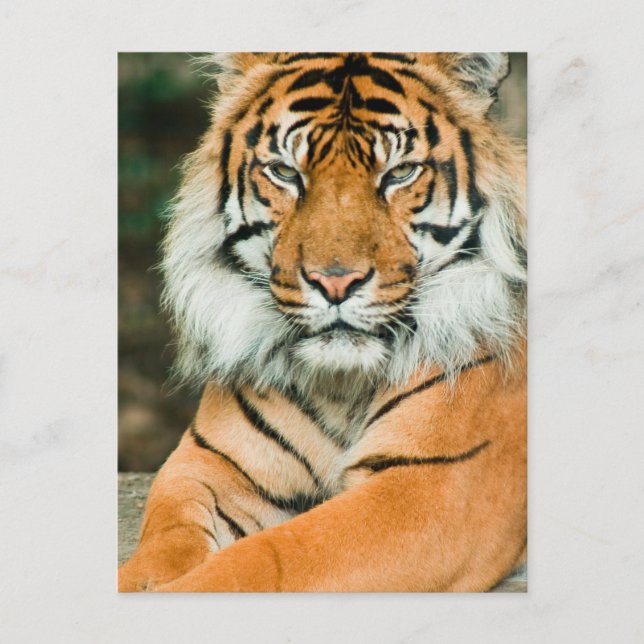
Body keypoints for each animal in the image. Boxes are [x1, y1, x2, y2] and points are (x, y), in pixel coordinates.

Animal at [118, 52, 527, 592]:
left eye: (400, 173)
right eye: (285, 173)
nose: (335, 282)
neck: (340, 386)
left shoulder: (435, 486)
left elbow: (266, 559)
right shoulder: (207, 462)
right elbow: (165, 540)